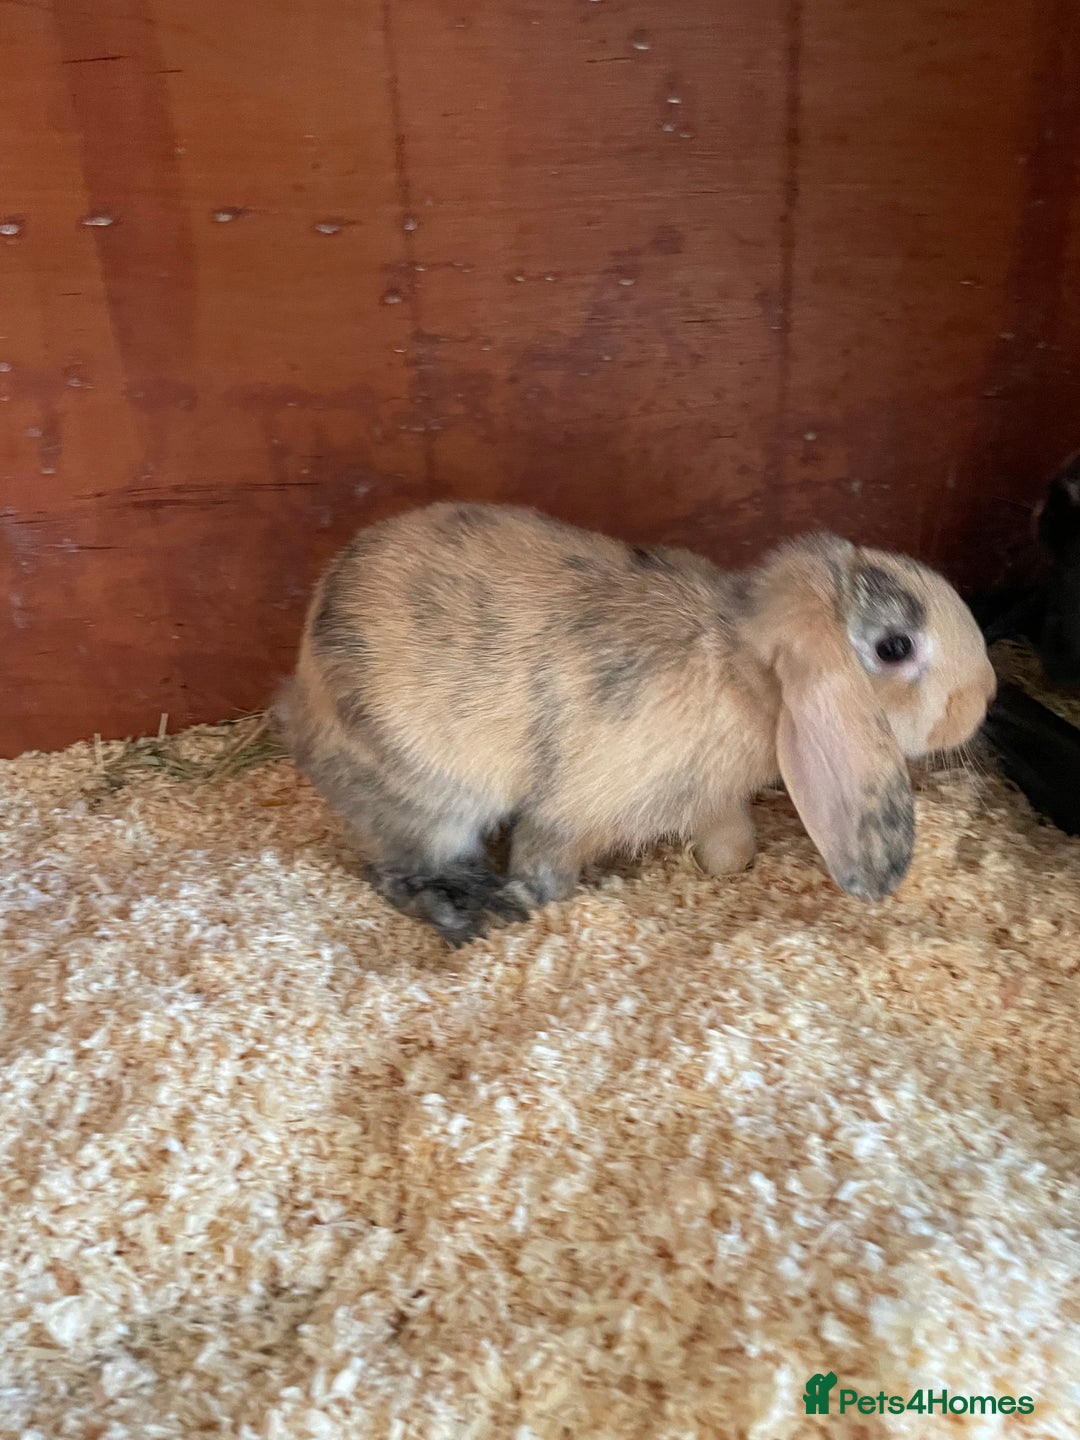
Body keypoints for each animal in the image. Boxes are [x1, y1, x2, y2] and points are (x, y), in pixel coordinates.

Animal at [278, 502, 996, 946]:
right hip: (428, 795)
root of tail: (301, 694)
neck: (746, 673)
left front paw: (724, 868)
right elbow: (545, 862)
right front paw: (541, 902)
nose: (982, 697)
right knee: (404, 869)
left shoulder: (710, 798)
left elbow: (732, 843)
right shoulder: (573, 811)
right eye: (895, 648)